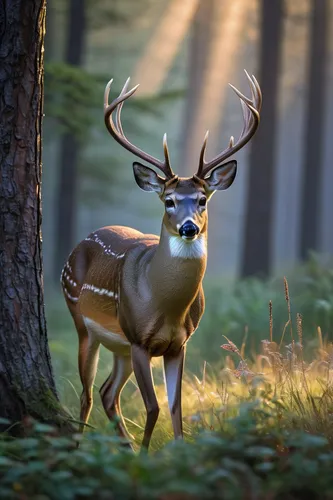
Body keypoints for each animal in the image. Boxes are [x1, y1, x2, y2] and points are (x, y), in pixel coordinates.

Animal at [61, 69, 260, 450]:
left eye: (202, 200)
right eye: (169, 200)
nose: (188, 227)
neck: (165, 304)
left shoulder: (178, 344)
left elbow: (175, 407)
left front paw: (175, 453)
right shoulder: (139, 339)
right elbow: (152, 407)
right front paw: (145, 456)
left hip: (119, 346)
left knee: (108, 393)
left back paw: (122, 447)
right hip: (81, 318)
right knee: (88, 394)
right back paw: (79, 448)